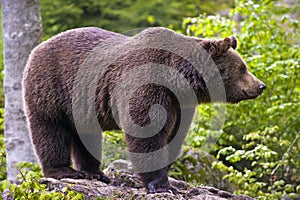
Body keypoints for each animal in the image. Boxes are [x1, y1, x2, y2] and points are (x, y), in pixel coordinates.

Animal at [23, 27, 266, 194]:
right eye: (243, 68)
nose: (260, 86)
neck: (178, 80)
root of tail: (38, 47)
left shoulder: (180, 104)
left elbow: (174, 136)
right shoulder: (146, 85)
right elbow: (147, 134)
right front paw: (161, 185)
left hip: (81, 105)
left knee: (87, 135)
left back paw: (95, 173)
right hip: (52, 86)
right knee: (50, 129)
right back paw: (63, 170)